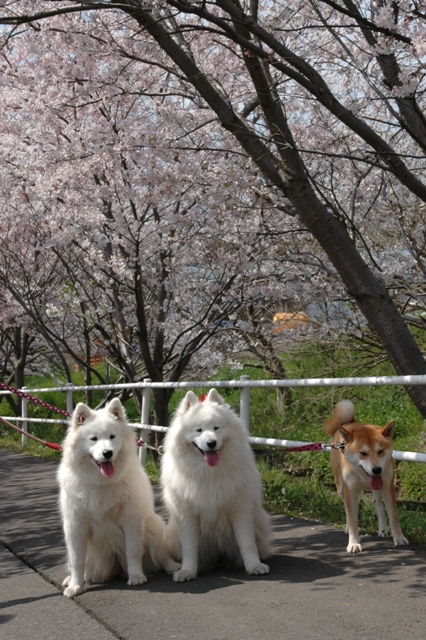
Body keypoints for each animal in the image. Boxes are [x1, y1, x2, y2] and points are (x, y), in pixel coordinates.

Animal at [57, 398, 178, 596]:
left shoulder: (131, 520)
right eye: (94, 438)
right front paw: (75, 586)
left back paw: (172, 567)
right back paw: (73, 579)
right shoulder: (75, 526)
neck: (101, 484)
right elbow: (77, 560)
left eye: (112, 437)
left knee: (162, 555)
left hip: (153, 526)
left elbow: (133, 551)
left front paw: (136, 576)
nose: (108, 453)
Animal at [160, 388, 270, 584]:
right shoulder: (187, 515)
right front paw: (187, 571)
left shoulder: (240, 510)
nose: (211, 443)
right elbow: (189, 548)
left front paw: (254, 566)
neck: (208, 472)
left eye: (216, 428)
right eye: (199, 430)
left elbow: (247, 543)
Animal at [324, 402, 408, 552]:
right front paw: (353, 543)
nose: (377, 470)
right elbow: (352, 518)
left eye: (380, 451)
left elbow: (393, 516)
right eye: (363, 453)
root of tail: (348, 422)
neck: (363, 476)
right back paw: (348, 528)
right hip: (341, 488)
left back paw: (383, 530)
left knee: (379, 506)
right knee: (347, 509)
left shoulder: (388, 488)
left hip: (378, 489)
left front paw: (399, 538)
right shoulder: (351, 492)